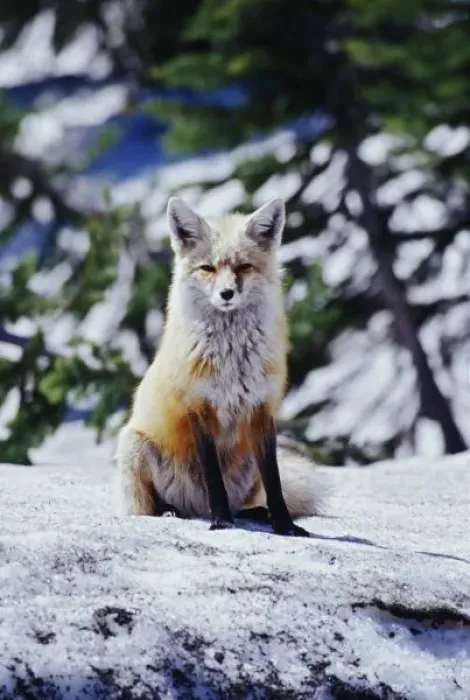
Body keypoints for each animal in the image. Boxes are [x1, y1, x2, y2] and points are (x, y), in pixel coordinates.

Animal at [114, 196, 323, 536]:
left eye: (243, 267)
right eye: (208, 268)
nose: (227, 294)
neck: (232, 360)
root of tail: (195, 509)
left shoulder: (262, 409)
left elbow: (275, 482)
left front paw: (284, 525)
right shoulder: (198, 408)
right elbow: (213, 479)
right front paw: (222, 522)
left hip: (248, 465)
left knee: (248, 501)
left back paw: (255, 513)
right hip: (135, 445)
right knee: (154, 507)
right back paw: (173, 511)